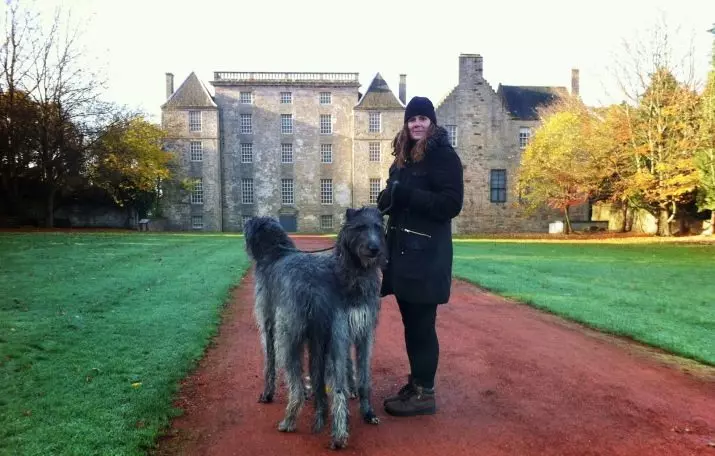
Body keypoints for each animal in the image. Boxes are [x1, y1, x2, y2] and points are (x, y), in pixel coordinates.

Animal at [243, 207, 386, 448]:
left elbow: (270, 364)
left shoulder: (270, 323)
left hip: (291, 334)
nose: (375, 249)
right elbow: (342, 373)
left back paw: (292, 419)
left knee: (298, 384)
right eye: (360, 227)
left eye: (378, 227)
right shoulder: (341, 332)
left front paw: (267, 393)